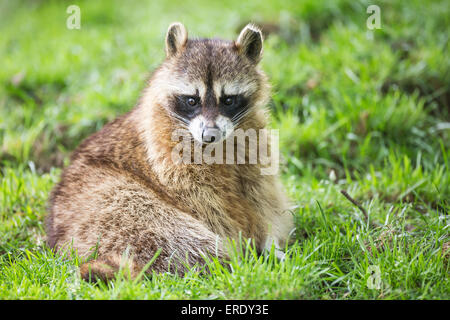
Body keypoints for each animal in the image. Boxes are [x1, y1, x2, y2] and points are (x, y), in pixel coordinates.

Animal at [44, 22, 292, 282]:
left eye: (228, 100)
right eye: (192, 100)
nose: (210, 135)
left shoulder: (255, 145)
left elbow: (261, 195)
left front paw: (269, 240)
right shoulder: (167, 156)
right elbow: (208, 205)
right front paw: (245, 244)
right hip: (114, 209)